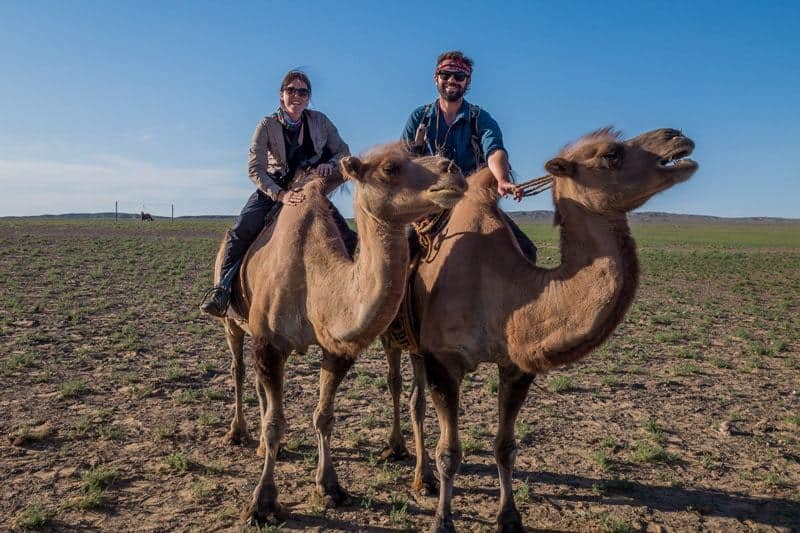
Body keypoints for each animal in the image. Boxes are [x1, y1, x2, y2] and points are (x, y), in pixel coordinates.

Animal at [211, 143, 468, 524]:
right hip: (232, 321)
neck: (314, 277)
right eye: (390, 168)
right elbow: (275, 424)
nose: (454, 170)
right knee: (239, 370)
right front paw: (262, 503)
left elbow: (324, 416)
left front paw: (330, 486)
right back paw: (238, 433)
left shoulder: (337, 348)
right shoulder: (269, 343)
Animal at [378, 127, 696, 528]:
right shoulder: (445, 360)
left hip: (420, 349)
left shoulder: (516, 364)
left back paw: (424, 478)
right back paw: (402, 456)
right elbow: (449, 451)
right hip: (397, 338)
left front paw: (510, 516)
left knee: (415, 398)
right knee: (398, 385)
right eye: (611, 154)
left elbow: (506, 447)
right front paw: (443, 521)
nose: (677, 137)